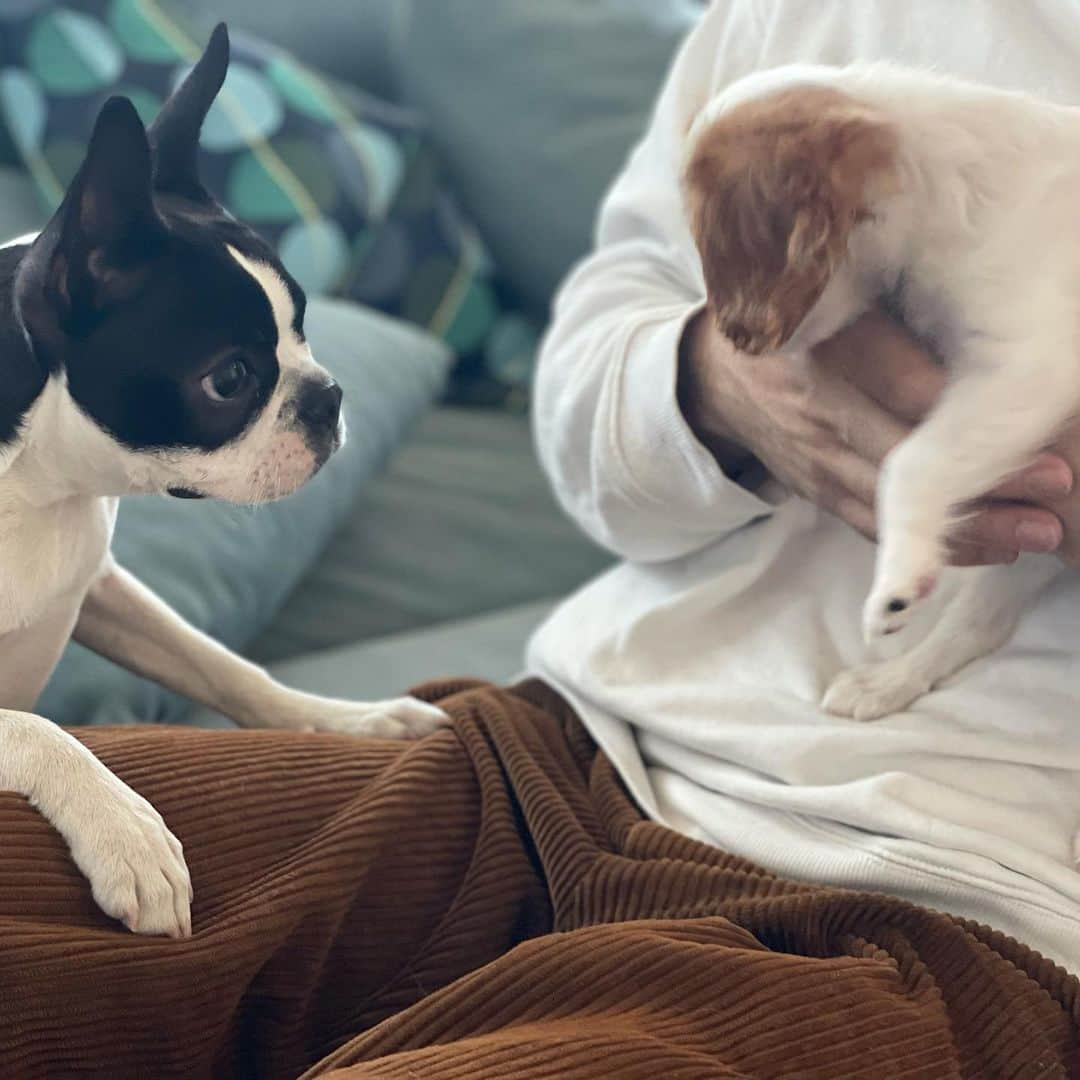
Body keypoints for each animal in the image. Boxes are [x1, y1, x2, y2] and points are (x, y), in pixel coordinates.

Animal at [1, 25, 447, 937]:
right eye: (231, 379)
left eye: (304, 323)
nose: (328, 397)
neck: (41, 493)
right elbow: (38, 727)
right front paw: (127, 832)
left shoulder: (100, 584)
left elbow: (222, 667)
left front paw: (349, 722)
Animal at [682, 65, 1080, 725]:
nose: (731, 341)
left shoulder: (1034, 364)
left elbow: (911, 462)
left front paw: (896, 577)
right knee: (977, 625)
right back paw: (890, 680)